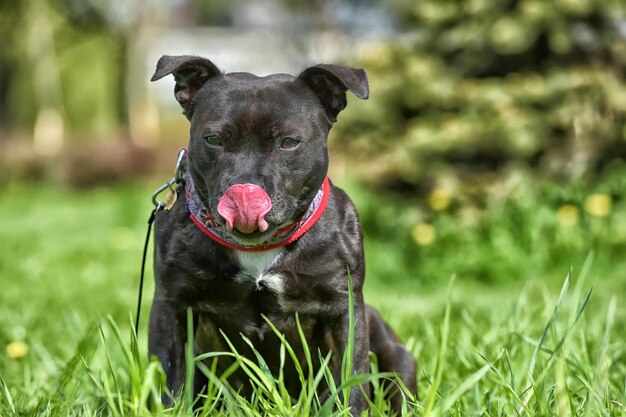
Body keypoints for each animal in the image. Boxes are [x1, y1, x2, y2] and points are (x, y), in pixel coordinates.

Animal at [149, 55, 416, 412]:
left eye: (289, 142)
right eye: (214, 139)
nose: (244, 189)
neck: (259, 249)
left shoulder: (344, 310)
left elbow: (351, 378)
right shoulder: (171, 306)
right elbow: (171, 379)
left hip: (393, 351)